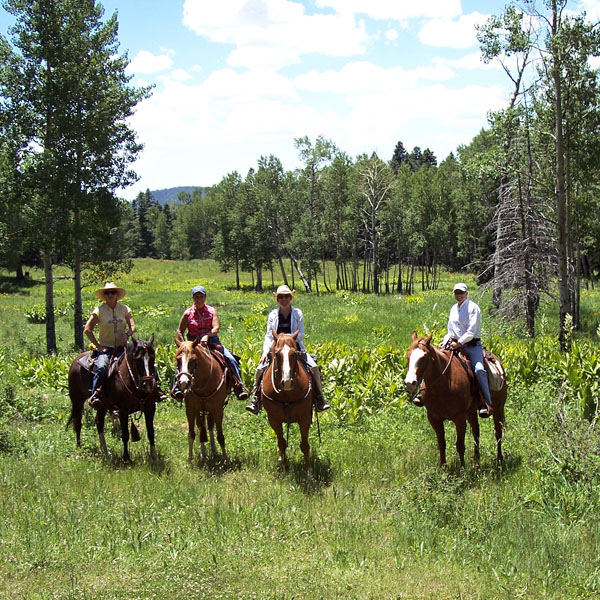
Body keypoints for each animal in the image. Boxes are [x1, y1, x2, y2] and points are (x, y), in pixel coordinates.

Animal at [260, 330, 314, 476]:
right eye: (277, 354)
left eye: (294, 353)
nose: (288, 382)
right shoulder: (274, 420)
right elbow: (282, 443)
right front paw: (286, 468)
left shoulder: (305, 418)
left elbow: (305, 445)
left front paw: (309, 472)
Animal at [404, 332, 506, 468]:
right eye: (408, 356)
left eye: (424, 357)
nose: (410, 383)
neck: (444, 383)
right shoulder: (434, 418)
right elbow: (441, 443)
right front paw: (442, 468)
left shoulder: (459, 418)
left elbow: (460, 445)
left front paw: (462, 469)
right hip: (471, 412)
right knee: (476, 432)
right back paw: (476, 462)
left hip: (498, 408)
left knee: (498, 433)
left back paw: (499, 460)